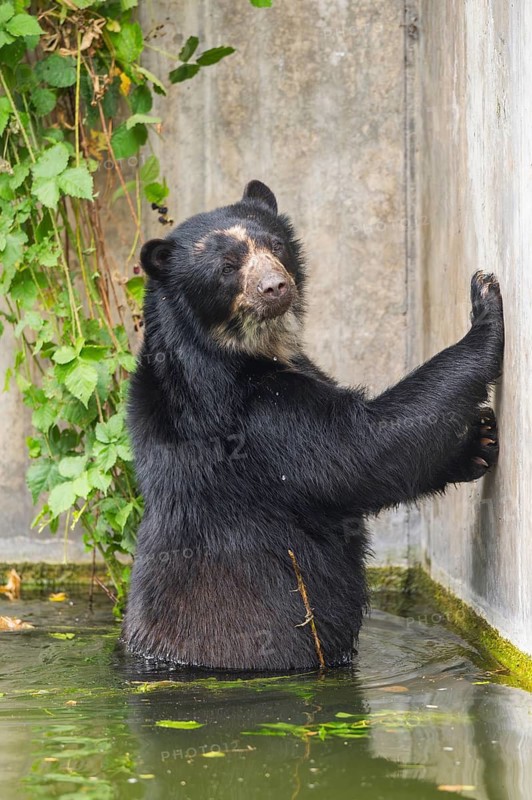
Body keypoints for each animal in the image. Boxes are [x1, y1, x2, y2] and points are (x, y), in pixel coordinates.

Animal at [123, 180, 503, 671]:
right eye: (227, 267)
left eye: (275, 245)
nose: (275, 286)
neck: (240, 350)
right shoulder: (251, 418)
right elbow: (361, 448)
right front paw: (485, 305)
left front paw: (479, 442)